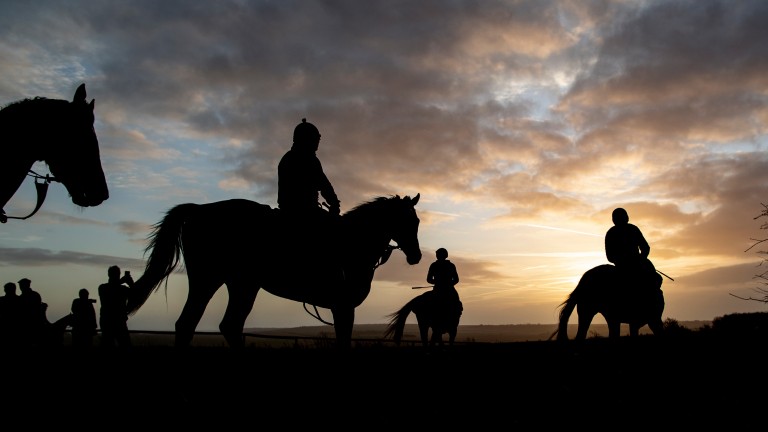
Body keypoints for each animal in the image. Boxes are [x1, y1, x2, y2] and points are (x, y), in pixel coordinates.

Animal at [128, 194, 424, 350]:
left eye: (417, 221)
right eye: (406, 221)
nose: (417, 256)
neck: (353, 241)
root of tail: (198, 210)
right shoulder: (343, 306)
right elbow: (343, 339)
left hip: (240, 284)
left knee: (220, 324)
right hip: (208, 279)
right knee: (192, 323)